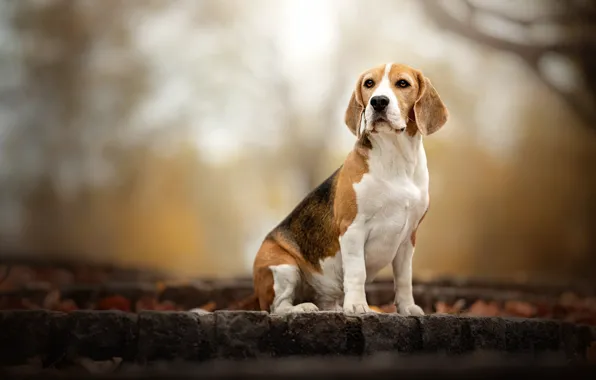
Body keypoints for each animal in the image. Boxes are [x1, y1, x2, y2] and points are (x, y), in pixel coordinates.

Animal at [237, 63, 448, 314]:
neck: (395, 158)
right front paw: (357, 305)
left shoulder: (409, 237)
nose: (378, 102)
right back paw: (302, 307)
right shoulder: (352, 228)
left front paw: (407, 308)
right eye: (369, 83)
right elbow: (357, 272)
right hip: (282, 266)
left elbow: (404, 278)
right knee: (277, 307)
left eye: (403, 83)